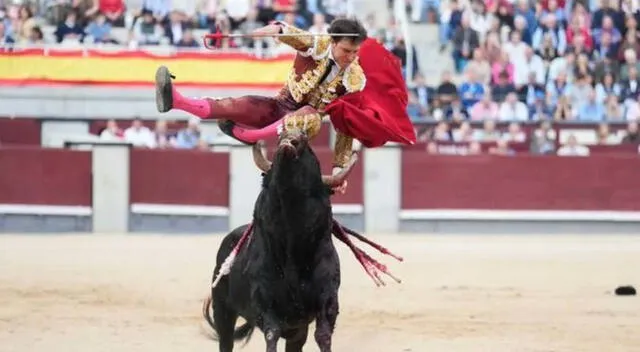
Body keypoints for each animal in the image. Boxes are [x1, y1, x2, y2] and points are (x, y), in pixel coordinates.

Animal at [202, 131, 402, 350]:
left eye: (309, 149)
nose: (290, 137)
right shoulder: (264, 302)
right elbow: (272, 333)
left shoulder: (328, 299)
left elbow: (323, 335)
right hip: (222, 310)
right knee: (226, 340)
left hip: (297, 329)